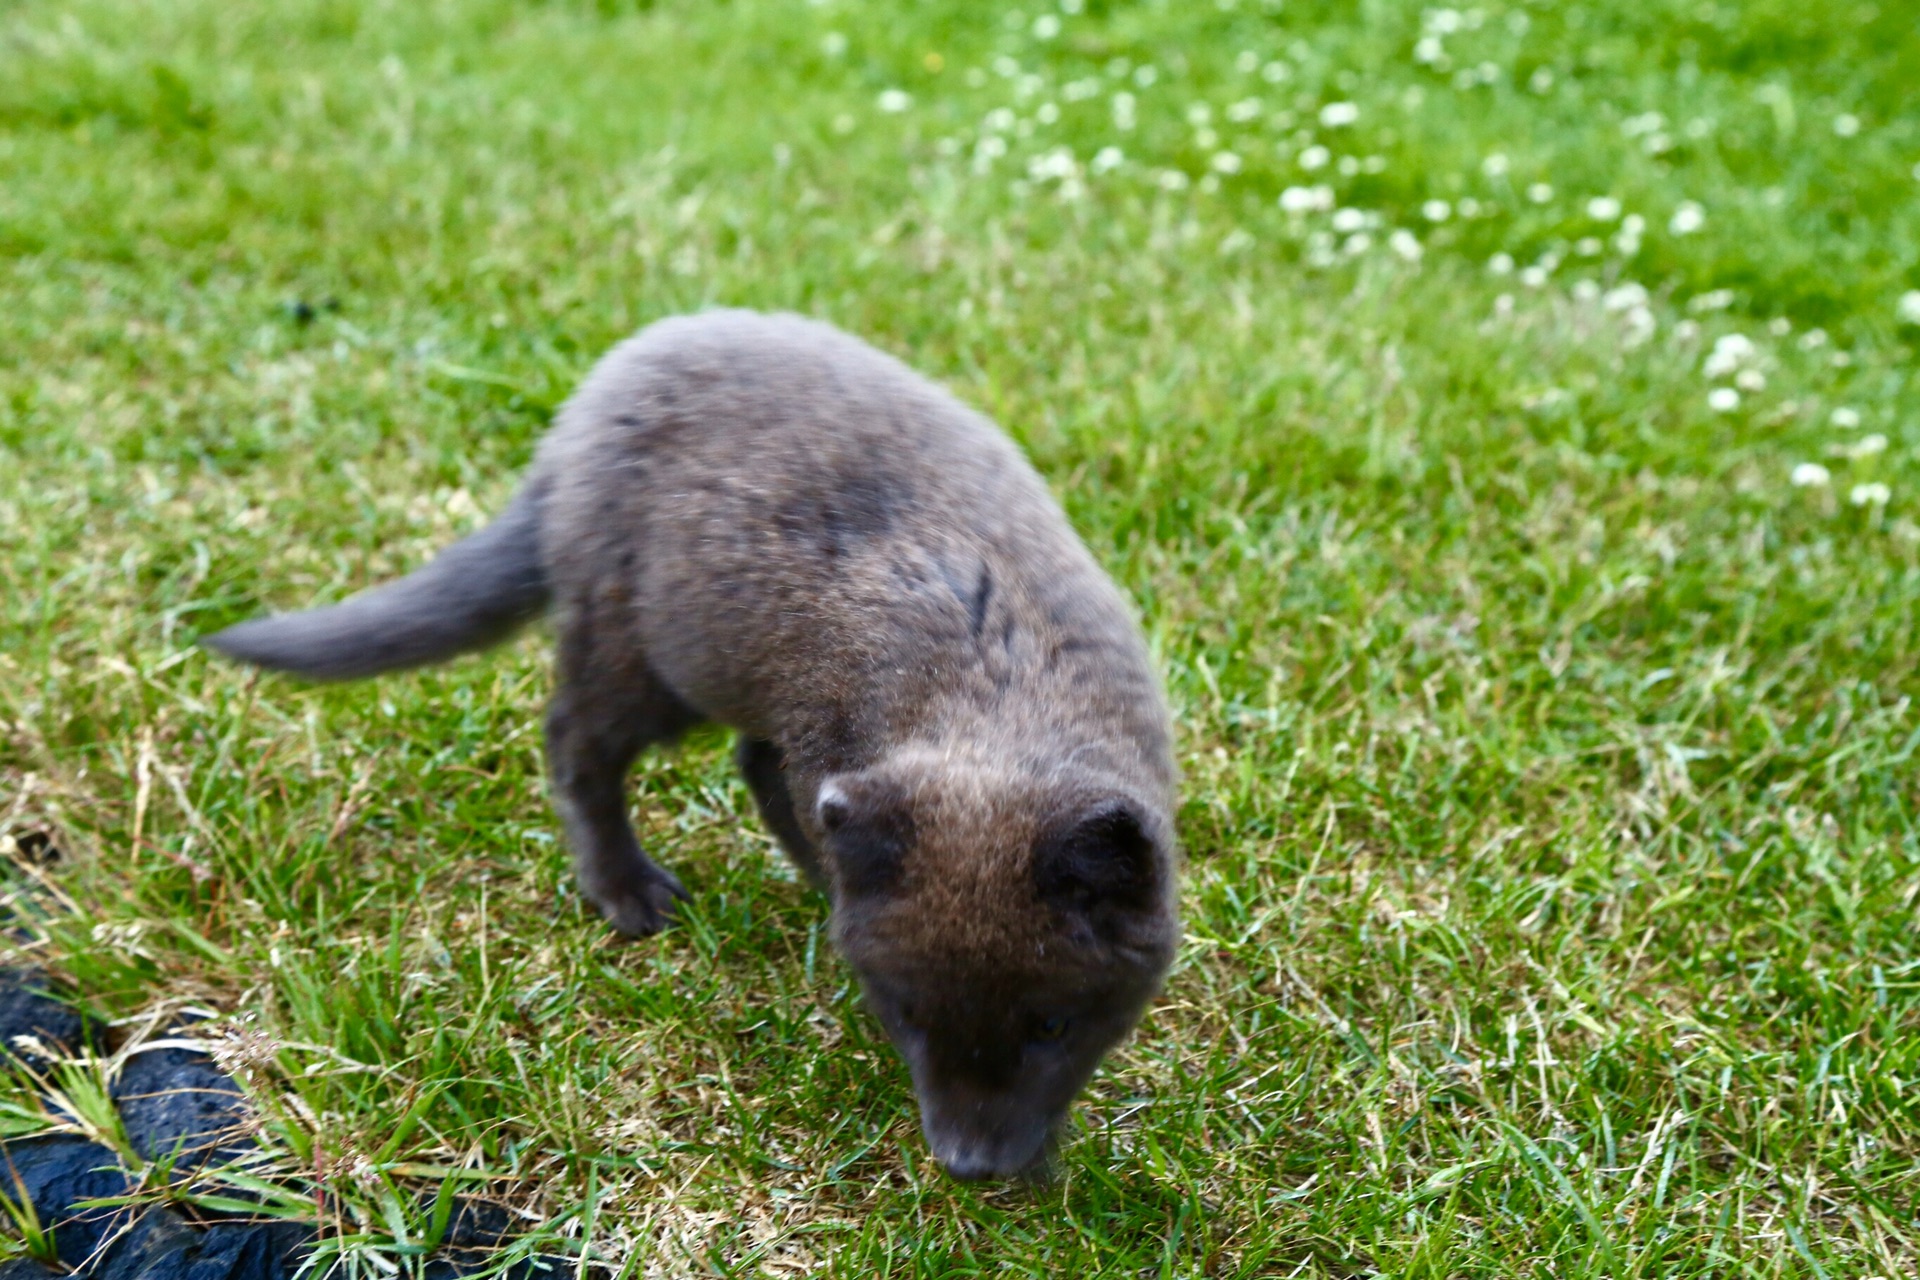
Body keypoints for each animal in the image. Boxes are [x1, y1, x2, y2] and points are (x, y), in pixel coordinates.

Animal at [202, 312, 1175, 1182]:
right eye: (908, 1016)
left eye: (1051, 1025)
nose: (971, 1166)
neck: (994, 683)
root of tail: (575, 424)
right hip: (638, 654)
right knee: (577, 743)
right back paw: (627, 891)